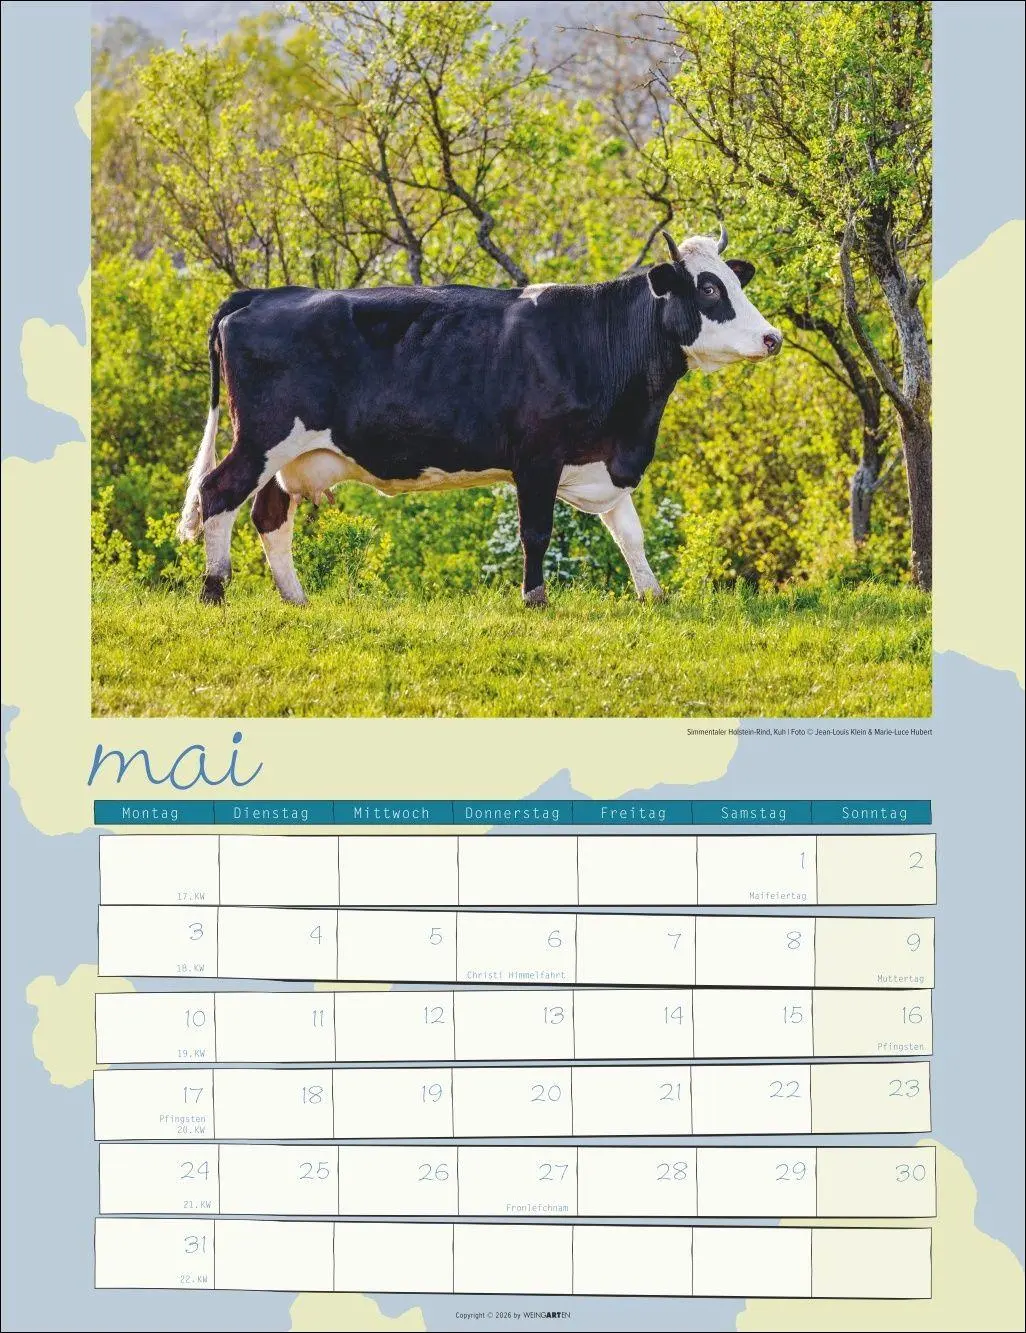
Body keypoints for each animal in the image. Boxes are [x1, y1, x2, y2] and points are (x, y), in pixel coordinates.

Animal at [177, 226, 782, 607]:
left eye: (736, 280)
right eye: (709, 288)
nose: (773, 338)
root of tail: (260, 294)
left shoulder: (602, 460)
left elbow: (630, 534)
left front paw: (653, 595)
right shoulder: (537, 457)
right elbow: (536, 531)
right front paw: (534, 598)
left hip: (293, 455)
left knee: (269, 514)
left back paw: (296, 599)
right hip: (262, 437)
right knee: (218, 492)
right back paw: (214, 590)